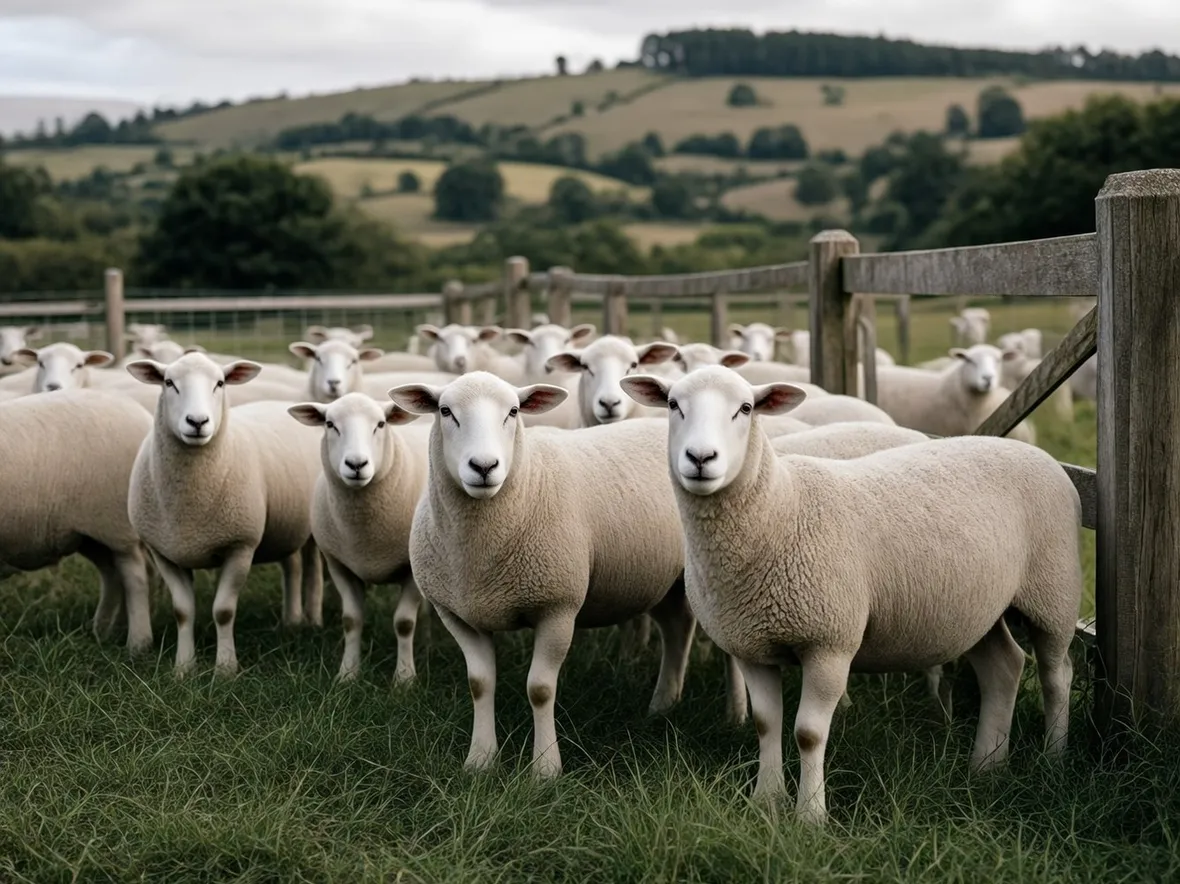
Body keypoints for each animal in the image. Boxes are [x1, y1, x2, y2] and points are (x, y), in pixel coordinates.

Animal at [0, 389, 154, 655]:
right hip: (89, 534)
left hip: (118, 525)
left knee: (135, 576)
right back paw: (106, 631)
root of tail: (143, 415)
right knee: (113, 575)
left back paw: (137, 644)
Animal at [125, 352, 325, 676]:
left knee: (313, 568)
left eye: (220, 383)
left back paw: (313, 620)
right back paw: (291, 620)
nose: (197, 422)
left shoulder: (240, 546)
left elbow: (223, 610)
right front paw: (184, 668)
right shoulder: (165, 552)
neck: (189, 505)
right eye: (169, 382)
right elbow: (183, 611)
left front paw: (226, 669)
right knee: (292, 565)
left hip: (315, 528)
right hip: (284, 524)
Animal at [288, 394, 432, 682]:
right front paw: (348, 674)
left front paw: (404, 679)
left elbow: (404, 623)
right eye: (330, 424)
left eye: (381, 424)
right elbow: (351, 620)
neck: (364, 533)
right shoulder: (340, 566)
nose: (356, 465)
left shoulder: (411, 571)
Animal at [387, 372, 696, 779]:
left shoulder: (557, 608)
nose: (484, 466)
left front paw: (545, 769)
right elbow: (479, 684)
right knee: (676, 629)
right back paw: (663, 704)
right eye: (445, 411)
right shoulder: (457, 614)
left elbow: (540, 689)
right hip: (662, 582)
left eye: (513, 411)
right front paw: (480, 761)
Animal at [620, 365, 1081, 824]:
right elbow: (766, 723)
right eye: (674, 405)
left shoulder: (830, 642)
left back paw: (1052, 760)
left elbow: (807, 733)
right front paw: (766, 801)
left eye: (746, 408)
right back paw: (987, 766)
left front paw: (810, 817)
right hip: (978, 608)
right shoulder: (752, 645)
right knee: (1004, 667)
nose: (700, 459)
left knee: (1057, 675)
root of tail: (1046, 459)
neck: (780, 510)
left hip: (1054, 593)